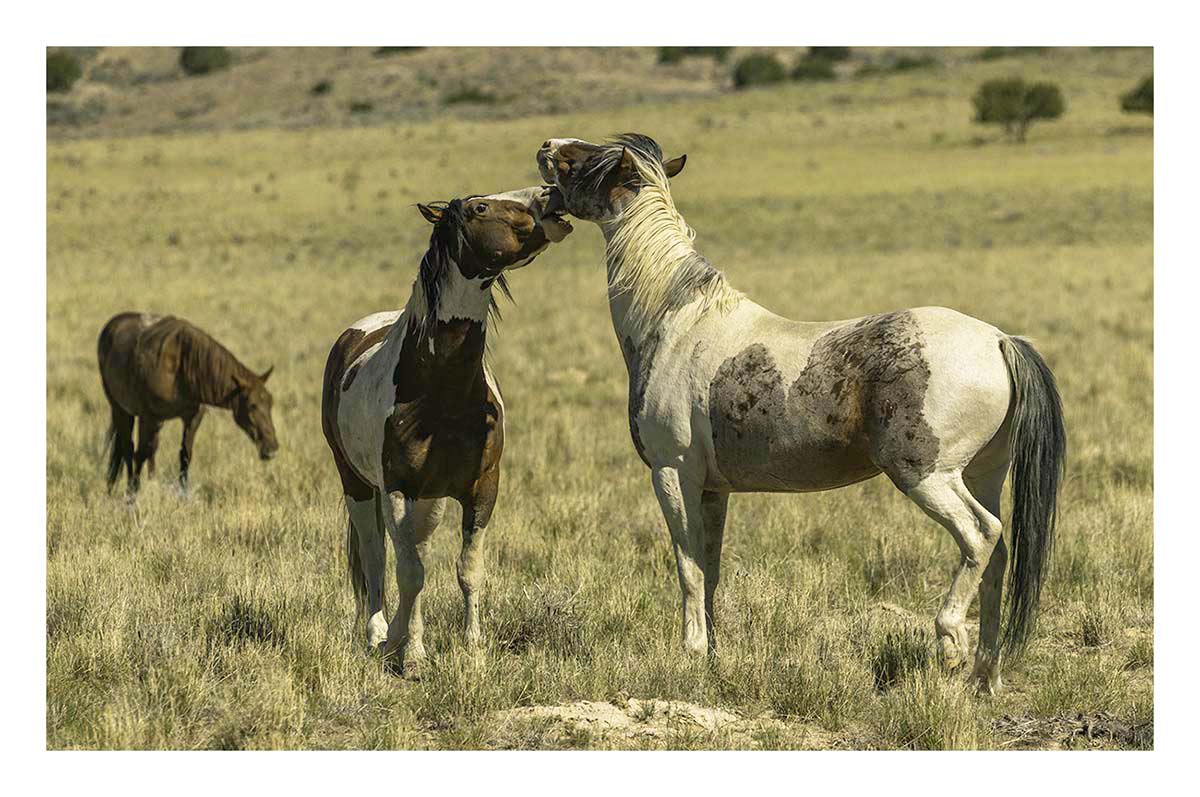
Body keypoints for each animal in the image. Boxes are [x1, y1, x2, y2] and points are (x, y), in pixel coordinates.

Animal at [97, 312, 279, 493]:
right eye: (252, 406)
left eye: (270, 403)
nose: (271, 448)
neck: (182, 366)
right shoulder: (147, 417)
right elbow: (140, 454)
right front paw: (132, 494)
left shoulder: (192, 417)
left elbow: (185, 454)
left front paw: (183, 494)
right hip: (120, 409)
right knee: (128, 448)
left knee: (148, 449)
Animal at [321, 185, 573, 673]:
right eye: (481, 207)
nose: (551, 193)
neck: (440, 391)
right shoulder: (398, 489)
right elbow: (409, 572)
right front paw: (413, 654)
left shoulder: (481, 488)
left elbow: (466, 570)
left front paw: (472, 649)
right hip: (358, 485)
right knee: (378, 556)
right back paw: (380, 634)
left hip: (431, 502)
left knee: (412, 550)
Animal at [535, 134, 1065, 694]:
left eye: (585, 159)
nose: (547, 145)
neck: (674, 322)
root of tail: (999, 340)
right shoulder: (713, 489)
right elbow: (710, 569)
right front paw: (713, 657)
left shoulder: (672, 473)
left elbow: (688, 568)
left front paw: (690, 654)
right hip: (984, 474)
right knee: (997, 558)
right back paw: (985, 677)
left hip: (928, 477)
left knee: (981, 535)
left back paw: (949, 644)